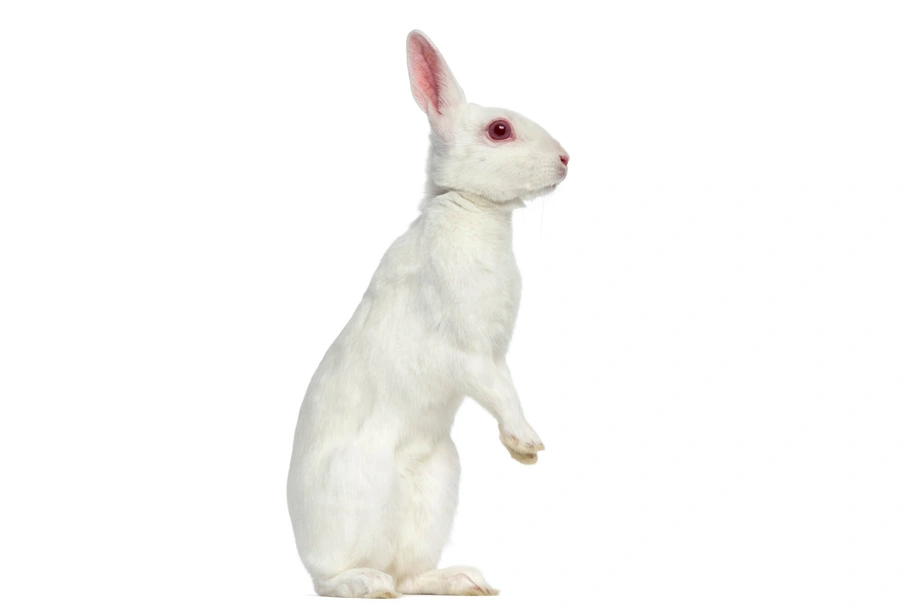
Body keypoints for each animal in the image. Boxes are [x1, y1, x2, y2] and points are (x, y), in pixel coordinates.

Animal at [286, 30, 569, 599]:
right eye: (499, 130)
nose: (567, 158)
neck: (471, 207)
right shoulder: (470, 353)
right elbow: (501, 392)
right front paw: (527, 442)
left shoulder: (494, 354)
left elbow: (506, 386)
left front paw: (522, 452)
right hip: (356, 492)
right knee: (330, 579)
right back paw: (368, 583)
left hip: (438, 488)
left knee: (412, 574)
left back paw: (466, 581)